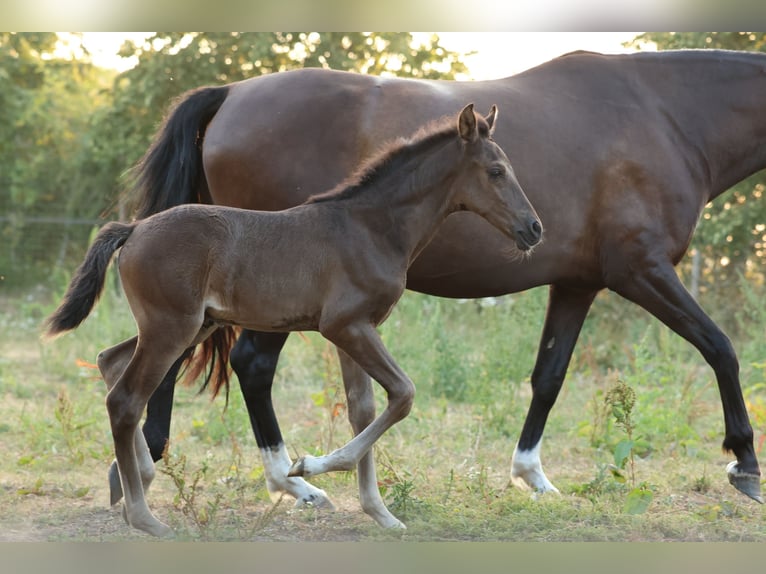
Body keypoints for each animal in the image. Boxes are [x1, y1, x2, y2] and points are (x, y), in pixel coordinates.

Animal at [45, 104, 542, 537]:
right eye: (496, 171)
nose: (534, 228)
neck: (370, 227)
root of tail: (134, 229)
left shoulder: (357, 329)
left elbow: (362, 410)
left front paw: (380, 513)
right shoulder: (344, 326)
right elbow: (402, 395)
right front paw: (309, 467)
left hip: (187, 326)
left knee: (110, 362)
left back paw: (139, 485)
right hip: (172, 328)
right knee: (126, 399)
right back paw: (145, 518)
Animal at [123, 49, 765, 511]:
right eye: (497, 170)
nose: (533, 227)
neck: (665, 115)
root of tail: (231, 93)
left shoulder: (578, 283)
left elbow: (549, 377)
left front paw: (532, 475)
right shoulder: (642, 270)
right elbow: (721, 349)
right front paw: (745, 465)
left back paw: (154, 459)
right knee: (247, 364)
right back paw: (289, 481)